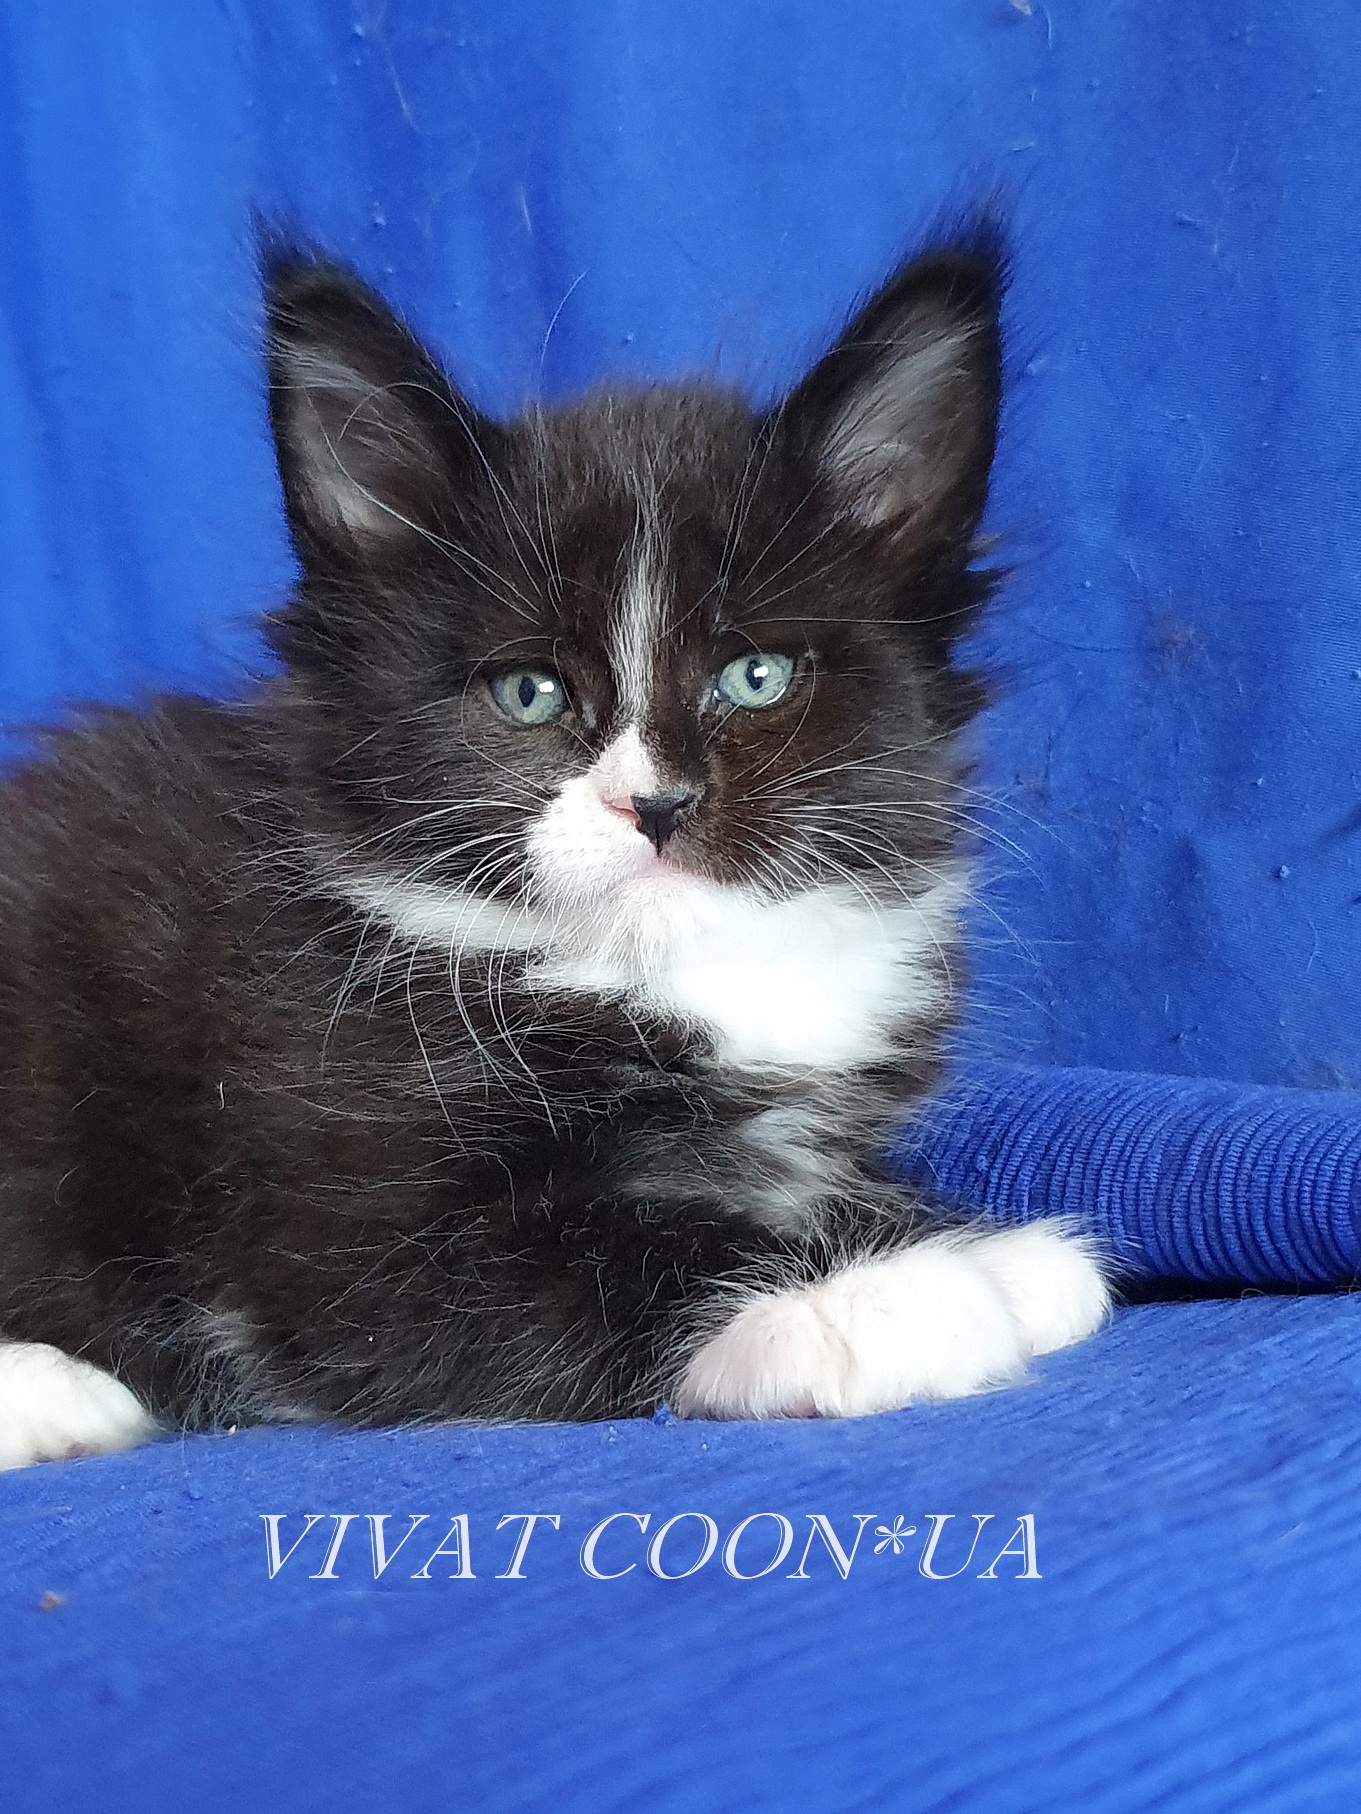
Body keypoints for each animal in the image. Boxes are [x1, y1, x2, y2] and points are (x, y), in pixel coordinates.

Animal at [0, 224, 1110, 1469]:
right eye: (529, 692)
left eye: (754, 675)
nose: (656, 803)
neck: (653, 974)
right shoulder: (335, 1207)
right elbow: (604, 1246)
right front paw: (864, 1296)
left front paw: (974, 1242)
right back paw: (47, 1388)